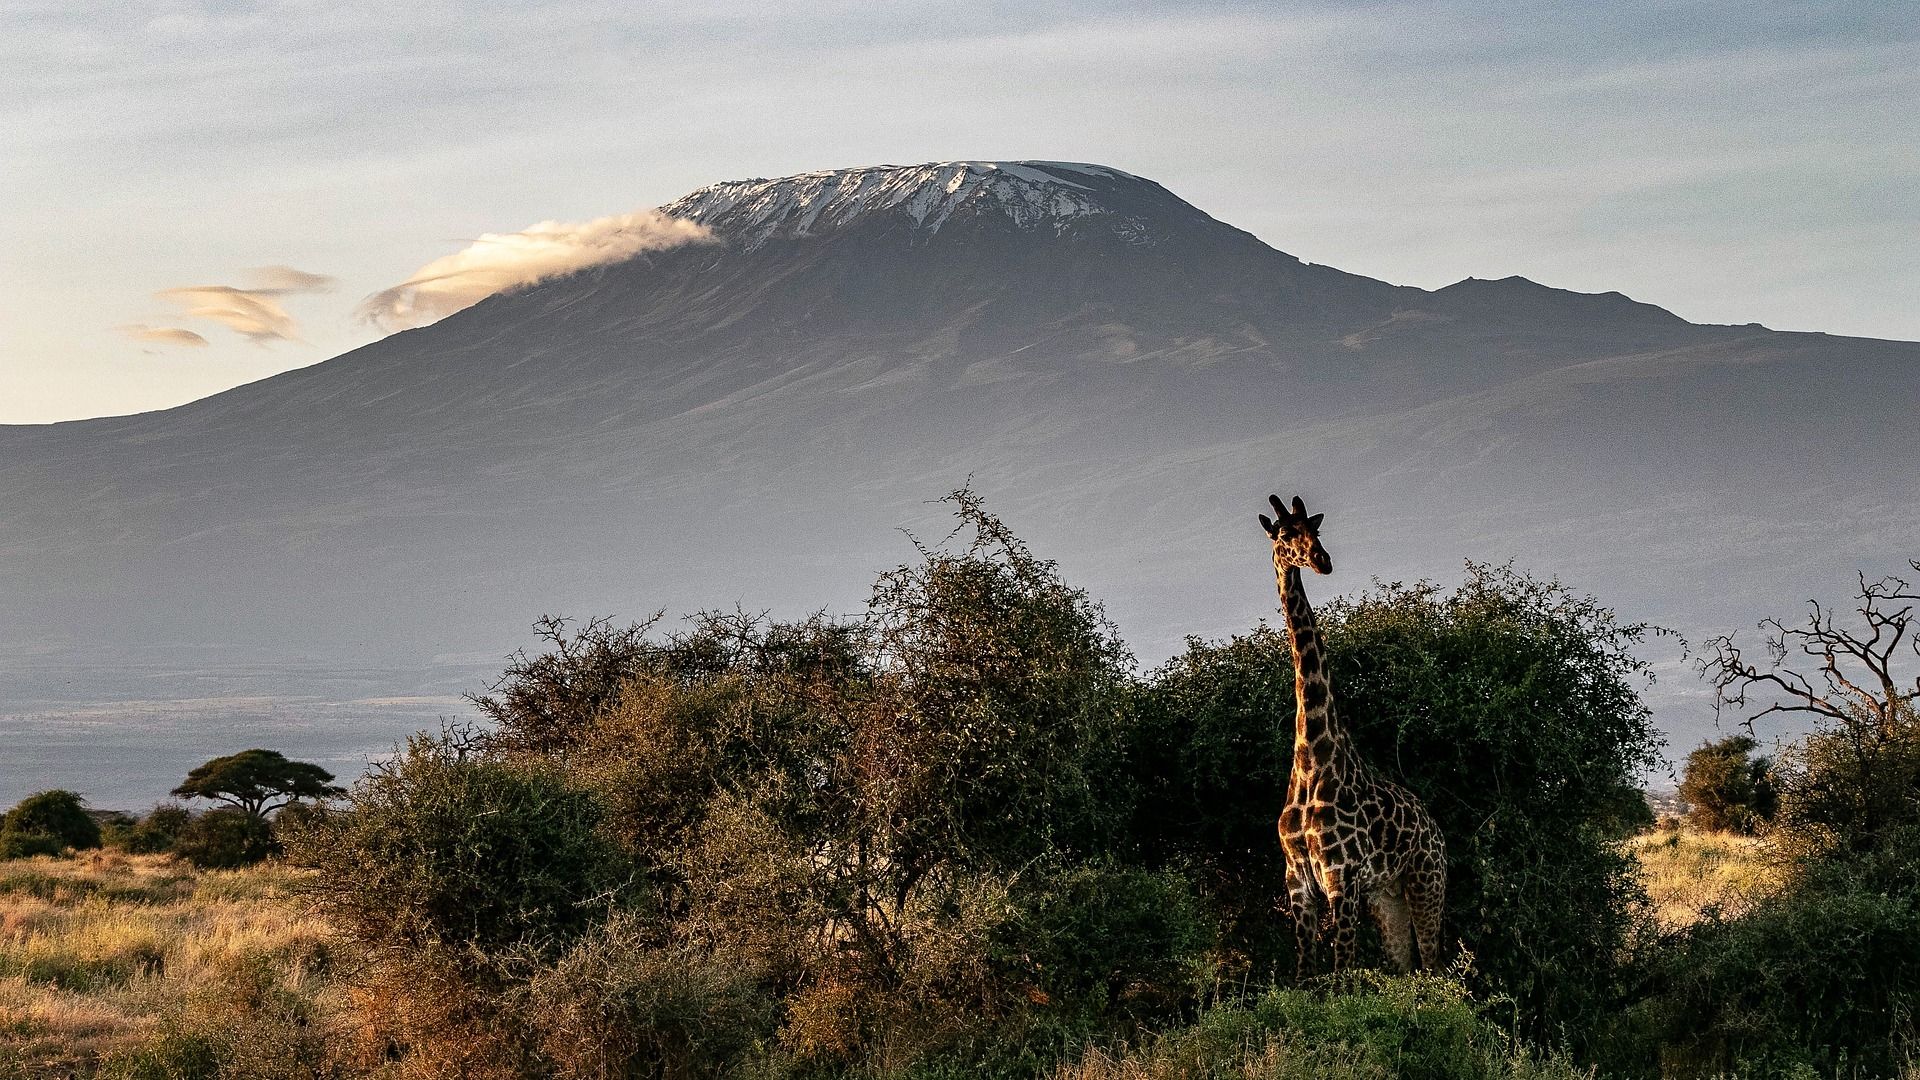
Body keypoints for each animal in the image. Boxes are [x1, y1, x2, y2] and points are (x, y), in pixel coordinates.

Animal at [1259, 495, 1443, 976]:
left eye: (1316, 531)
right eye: (1285, 534)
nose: (1321, 561)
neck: (1312, 758)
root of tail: (1435, 828)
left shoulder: (1341, 876)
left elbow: (1343, 973)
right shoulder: (1298, 882)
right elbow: (1305, 973)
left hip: (1427, 881)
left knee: (1436, 968)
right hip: (1386, 897)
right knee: (1407, 968)